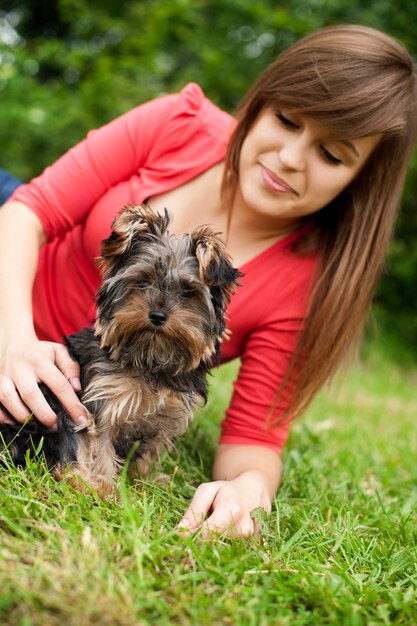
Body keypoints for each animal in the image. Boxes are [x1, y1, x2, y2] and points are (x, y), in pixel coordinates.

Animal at [0, 205, 240, 492]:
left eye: (187, 292)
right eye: (143, 282)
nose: (157, 315)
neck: (151, 358)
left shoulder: (166, 415)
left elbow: (149, 450)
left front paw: (147, 480)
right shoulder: (100, 403)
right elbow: (99, 449)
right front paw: (108, 487)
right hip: (54, 410)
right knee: (66, 460)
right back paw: (89, 486)